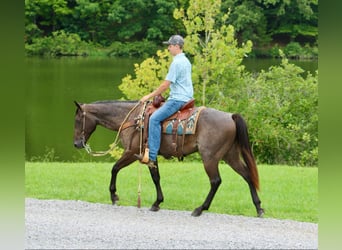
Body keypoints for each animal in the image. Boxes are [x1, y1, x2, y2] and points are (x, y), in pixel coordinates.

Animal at [73, 99, 264, 217]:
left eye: (77, 120)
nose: (76, 143)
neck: (133, 119)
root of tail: (230, 116)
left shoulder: (131, 152)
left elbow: (114, 169)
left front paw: (114, 196)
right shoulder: (150, 155)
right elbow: (156, 177)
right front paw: (157, 203)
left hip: (210, 157)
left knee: (216, 181)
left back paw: (200, 209)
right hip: (230, 155)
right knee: (247, 175)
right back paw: (259, 208)